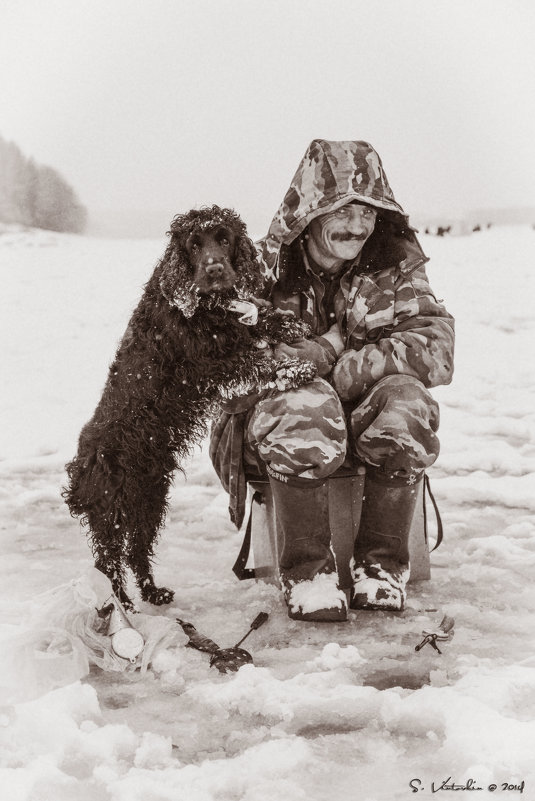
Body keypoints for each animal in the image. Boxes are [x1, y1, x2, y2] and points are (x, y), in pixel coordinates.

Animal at [63, 205, 316, 608]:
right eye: (194, 245)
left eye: (224, 239)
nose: (214, 269)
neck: (208, 305)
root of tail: (79, 471)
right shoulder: (213, 367)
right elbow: (258, 363)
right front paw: (297, 368)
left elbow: (258, 320)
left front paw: (289, 325)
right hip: (111, 509)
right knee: (108, 560)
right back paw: (123, 604)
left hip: (150, 498)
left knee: (137, 550)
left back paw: (153, 593)